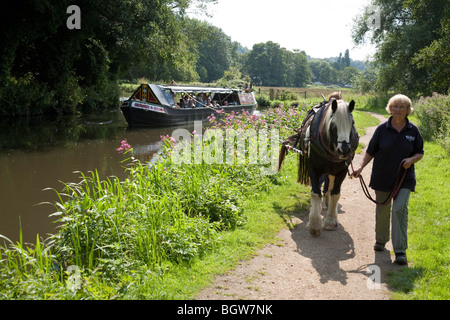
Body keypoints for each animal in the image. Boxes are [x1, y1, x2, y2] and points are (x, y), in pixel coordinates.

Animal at [278, 99, 358, 236]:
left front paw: (330, 220)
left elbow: (335, 193)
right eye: (333, 124)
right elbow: (315, 193)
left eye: (352, 123)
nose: (344, 150)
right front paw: (315, 224)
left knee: (329, 185)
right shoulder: (313, 168)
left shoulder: (342, 170)